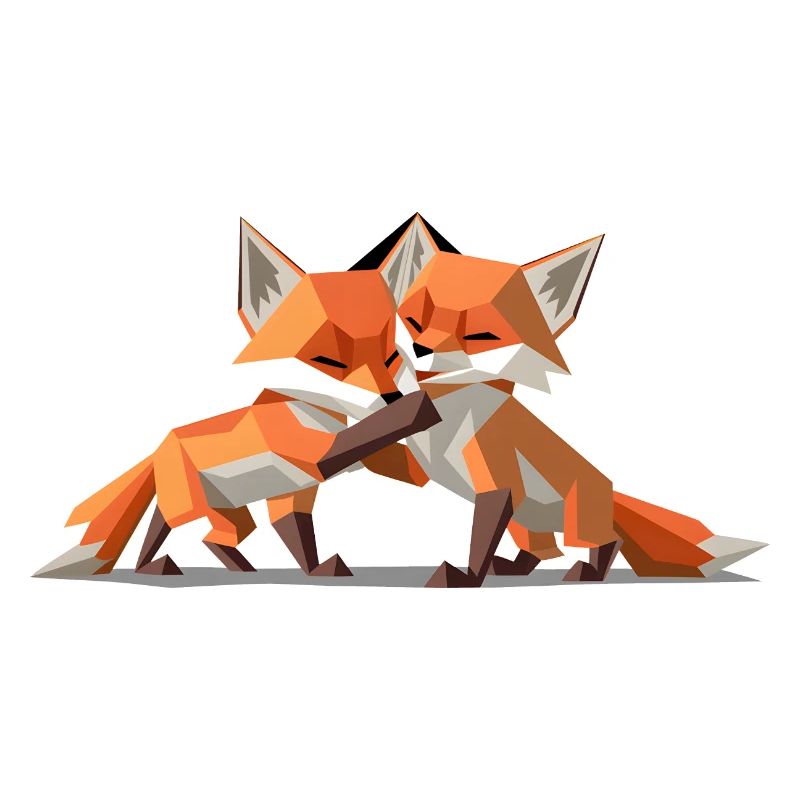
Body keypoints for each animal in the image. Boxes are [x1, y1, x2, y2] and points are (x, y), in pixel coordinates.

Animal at [35, 219, 439, 579]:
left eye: (391, 356)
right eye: (327, 361)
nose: (391, 395)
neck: (323, 415)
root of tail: (159, 448)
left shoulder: (297, 492)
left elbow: (391, 465)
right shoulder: (313, 455)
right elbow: (367, 434)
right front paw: (419, 409)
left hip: (233, 511)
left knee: (192, 534)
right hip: (200, 507)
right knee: (187, 532)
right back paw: (167, 567)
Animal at [350, 214, 766, 587]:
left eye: (480, 336)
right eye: (414, 320)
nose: (421, 349)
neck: (449, 416)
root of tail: (611, 491)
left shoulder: (497, 478)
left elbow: (479, 542)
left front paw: (465, 578)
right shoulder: (422, 468)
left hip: (575, 518)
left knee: (604, 543)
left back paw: (589, 573)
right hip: (526, 524)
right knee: (542, 551)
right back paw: (515, 568)